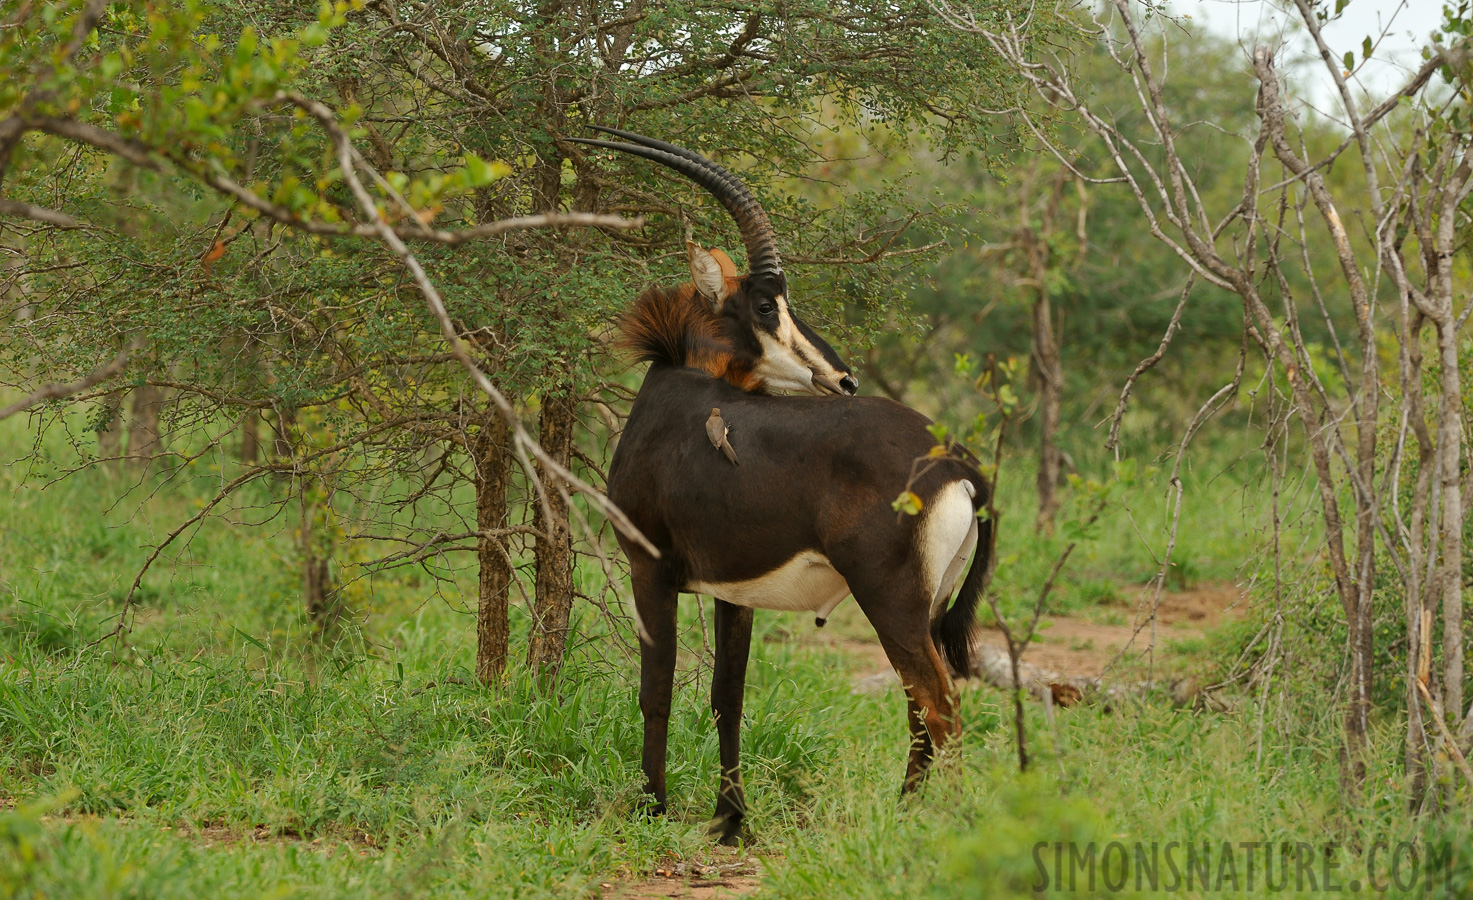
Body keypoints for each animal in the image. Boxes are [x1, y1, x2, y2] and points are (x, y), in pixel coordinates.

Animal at [568, 126, 995, 842]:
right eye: (766, 304)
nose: (843, 378)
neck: (678, 389)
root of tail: (958, 461)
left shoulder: (649, 567)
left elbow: (656, 688)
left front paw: (653, 805)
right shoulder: (732, 591)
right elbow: (727, 697)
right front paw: (730, 817)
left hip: (891, 599)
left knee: (939, 705)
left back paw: (948, 820)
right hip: (930, 605)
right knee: (919, 707)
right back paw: (904, 809)